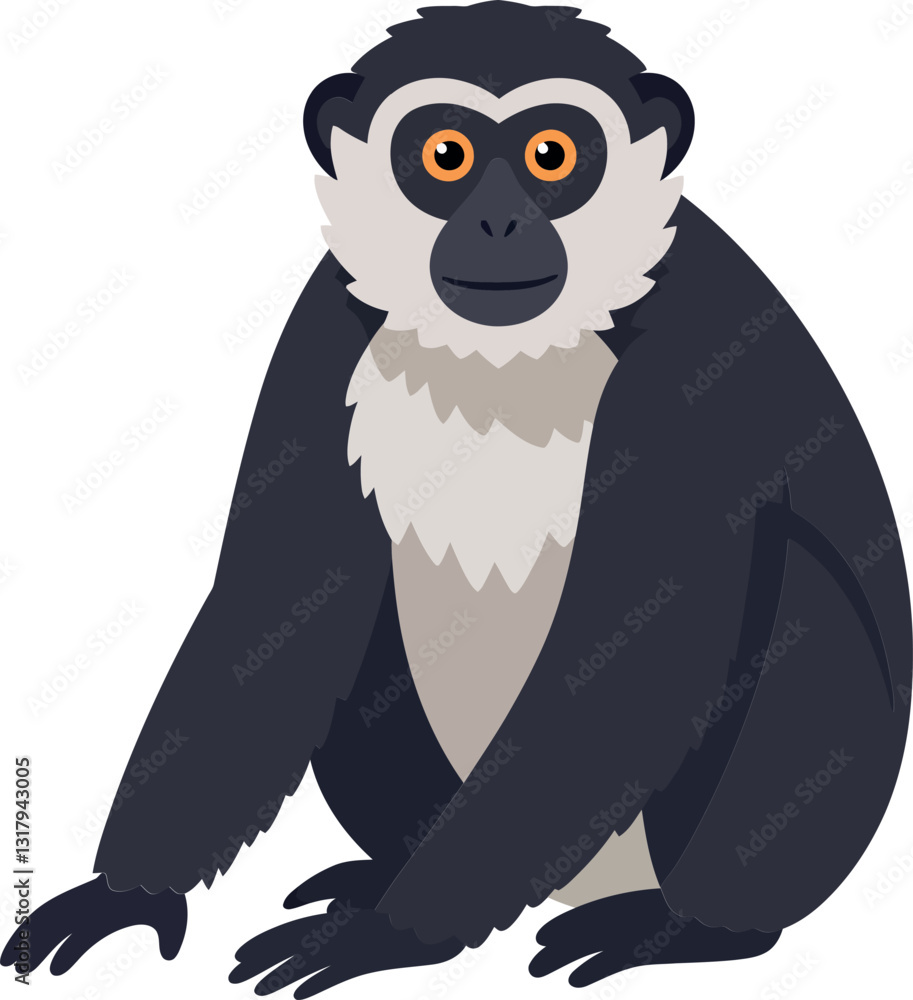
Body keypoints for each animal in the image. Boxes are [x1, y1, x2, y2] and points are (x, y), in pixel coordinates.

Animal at [5, 3, 911, 997]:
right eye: (445, 155)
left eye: (553, 155)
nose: (500, 221)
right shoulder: (324, 325)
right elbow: (276, 607)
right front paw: (126, 894)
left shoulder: (698, 361)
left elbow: (630, 657)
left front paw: (387, 938)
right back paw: (375, 871)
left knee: (801, 595)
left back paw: (682, 927)